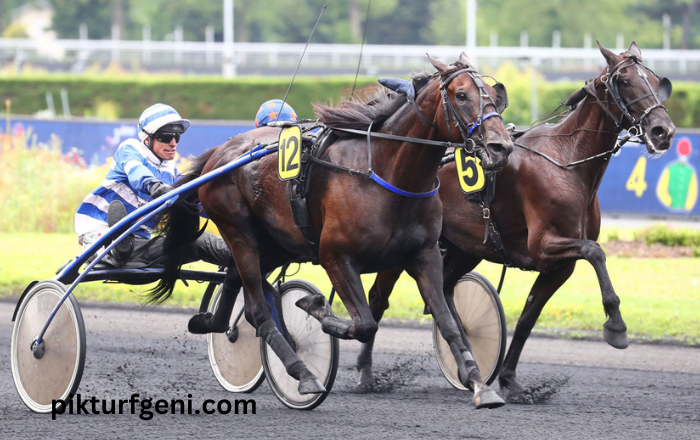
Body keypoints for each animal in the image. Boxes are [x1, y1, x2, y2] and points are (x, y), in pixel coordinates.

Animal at [153, 54, 516, 410]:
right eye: (461, 95)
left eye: (494, 94)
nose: (501, 147)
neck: (386, 173)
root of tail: (220, 152)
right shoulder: (335, 255)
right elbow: (364, 323)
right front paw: (317, 308)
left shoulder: (424, 255)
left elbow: (448, 322)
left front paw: (479, 384)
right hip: (238, 230)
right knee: (257, 310)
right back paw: (302, 374)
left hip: (276, 242)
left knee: (234, 278)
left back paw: (211, 323)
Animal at [358, 42, 676, 398]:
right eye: (625, 81)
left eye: (655, 81)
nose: (663, 131)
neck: (567, 161)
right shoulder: (544, 245)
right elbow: (596, 252)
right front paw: (616, 326)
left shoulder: (559, 265)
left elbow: (528, 318)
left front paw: (509, 378)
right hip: (405, 247)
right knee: (379, 298)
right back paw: (366, 373)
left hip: (464, 248)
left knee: (446, 288)